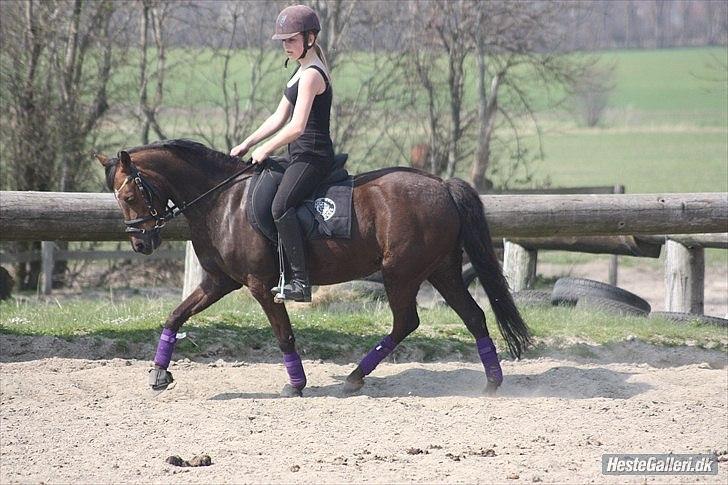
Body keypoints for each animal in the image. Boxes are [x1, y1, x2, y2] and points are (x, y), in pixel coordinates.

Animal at [96, 138, 528, 396]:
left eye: (130, 195)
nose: (140, 243)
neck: (222, 201)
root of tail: (442, 186)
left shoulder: (260, 285)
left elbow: (283, 334)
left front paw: (296, 383)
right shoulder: (219, 281)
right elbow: (175, 315)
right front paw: (158, 374)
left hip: (401, 274)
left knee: (407, 321)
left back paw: (355, 377)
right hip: (441, 270)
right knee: (473, 316)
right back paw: (492, 382)